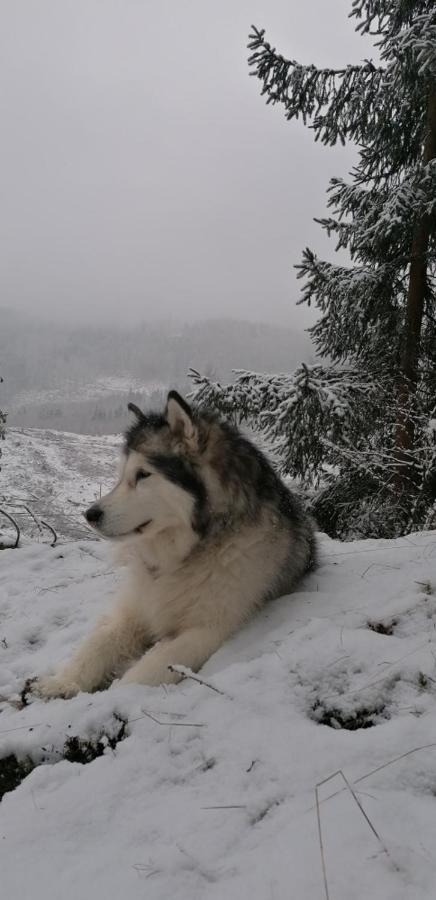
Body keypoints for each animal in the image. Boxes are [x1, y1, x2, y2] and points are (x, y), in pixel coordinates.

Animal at [31, 392, 316, 696]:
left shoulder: (206, 630)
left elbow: (148, 668)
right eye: (121, 476)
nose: (90, 514)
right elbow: (98, 644)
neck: (185, 553)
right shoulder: (136, 610)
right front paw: (61, 683)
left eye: (143, 475)